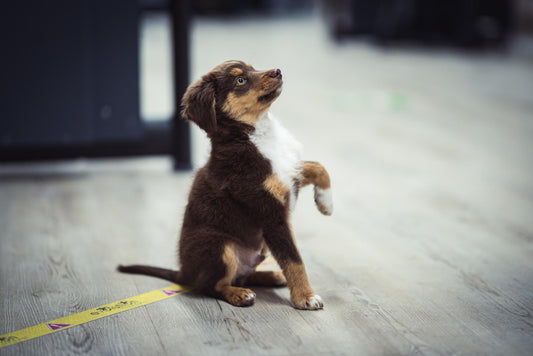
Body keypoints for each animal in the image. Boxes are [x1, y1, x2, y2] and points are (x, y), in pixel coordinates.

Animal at [119, 60, 332, 308]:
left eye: (252, 68)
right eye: (240, 80)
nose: (278, 71)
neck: (255, 134)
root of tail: (184, 273)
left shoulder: (289, 173)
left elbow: (317, 166)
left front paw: (326, 203)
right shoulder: (270, 213)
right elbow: (293, 259)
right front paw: (305, 297)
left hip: (257, 249)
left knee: (241, 275)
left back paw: (270, 275)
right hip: (219, 245)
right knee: (212, 285)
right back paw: (239, 294)